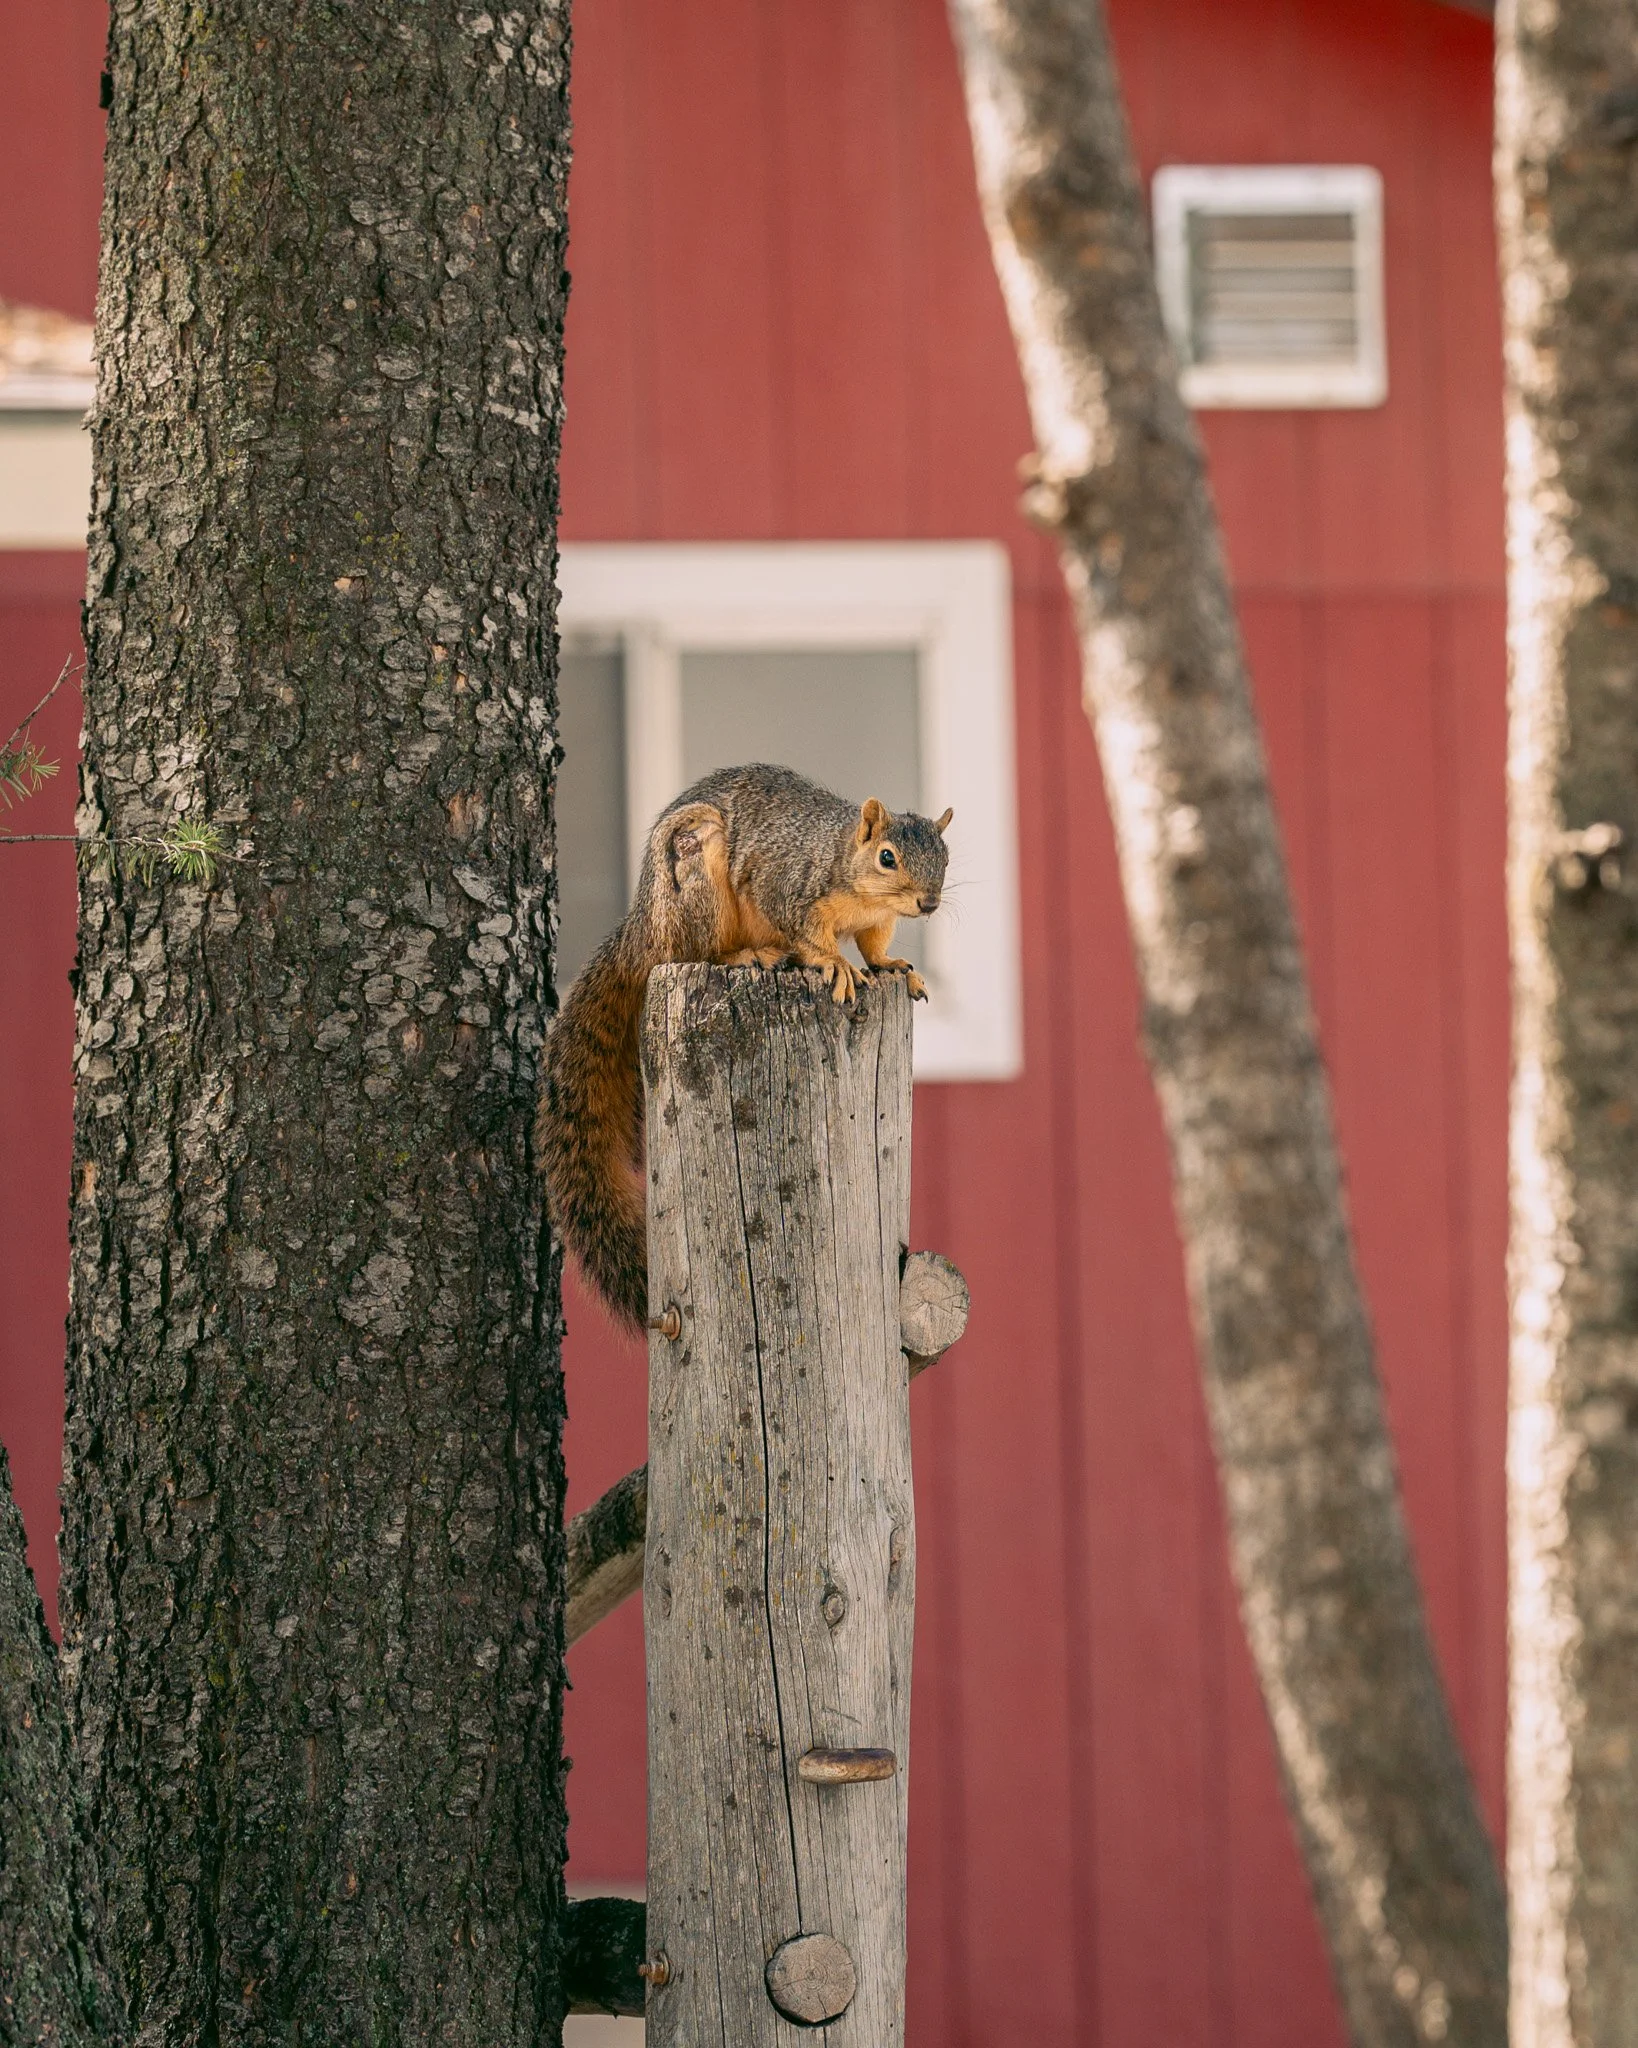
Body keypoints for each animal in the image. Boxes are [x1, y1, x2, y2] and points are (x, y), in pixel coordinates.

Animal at [536, 762, 952, 1333]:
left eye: (946, 855)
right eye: (887, 856)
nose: (929, 903)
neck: (847, 866)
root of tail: (644, 929)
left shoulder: (877, 921)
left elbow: (875, 946)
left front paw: (892, 967)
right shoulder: (789, 889)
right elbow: (812, 937)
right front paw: (834, 964)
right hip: (695, 873)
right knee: (698, 951)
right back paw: (750, 954)